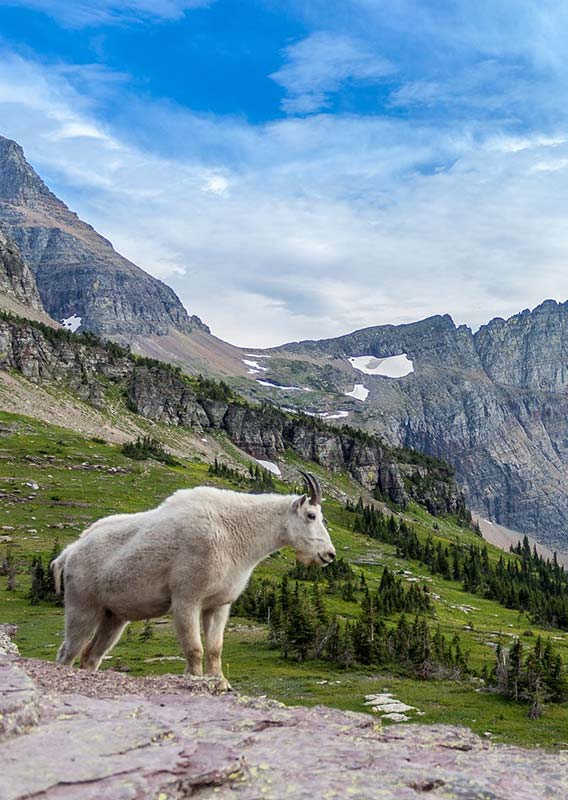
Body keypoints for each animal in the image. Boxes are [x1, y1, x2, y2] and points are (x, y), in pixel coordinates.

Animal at [51, 472, 336, 692]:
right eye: (311, 515)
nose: (329, 555)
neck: (234, 533)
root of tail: (68, 553)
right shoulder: (186, 599)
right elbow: (194, 647)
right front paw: (195, 680)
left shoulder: (218, 605)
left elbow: (215, 648)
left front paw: (221, 683)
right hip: (82, 607)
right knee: (67, 652)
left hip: (114, 617)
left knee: (91, 656)